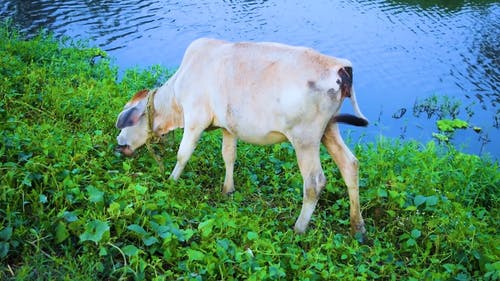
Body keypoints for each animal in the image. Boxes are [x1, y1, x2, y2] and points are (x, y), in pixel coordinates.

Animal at [115, 38, 370, 235]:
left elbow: (183, 154)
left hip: (305, 138)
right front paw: (227, 190)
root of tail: (340, 66)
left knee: (314, 182)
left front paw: (171, 181)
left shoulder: (195, 119)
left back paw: (299, 228)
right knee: (350, 166)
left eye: (125, 121)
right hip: (329, 129)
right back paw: (358, 228)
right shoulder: (228, 127)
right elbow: (228, 156)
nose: (118, 146)